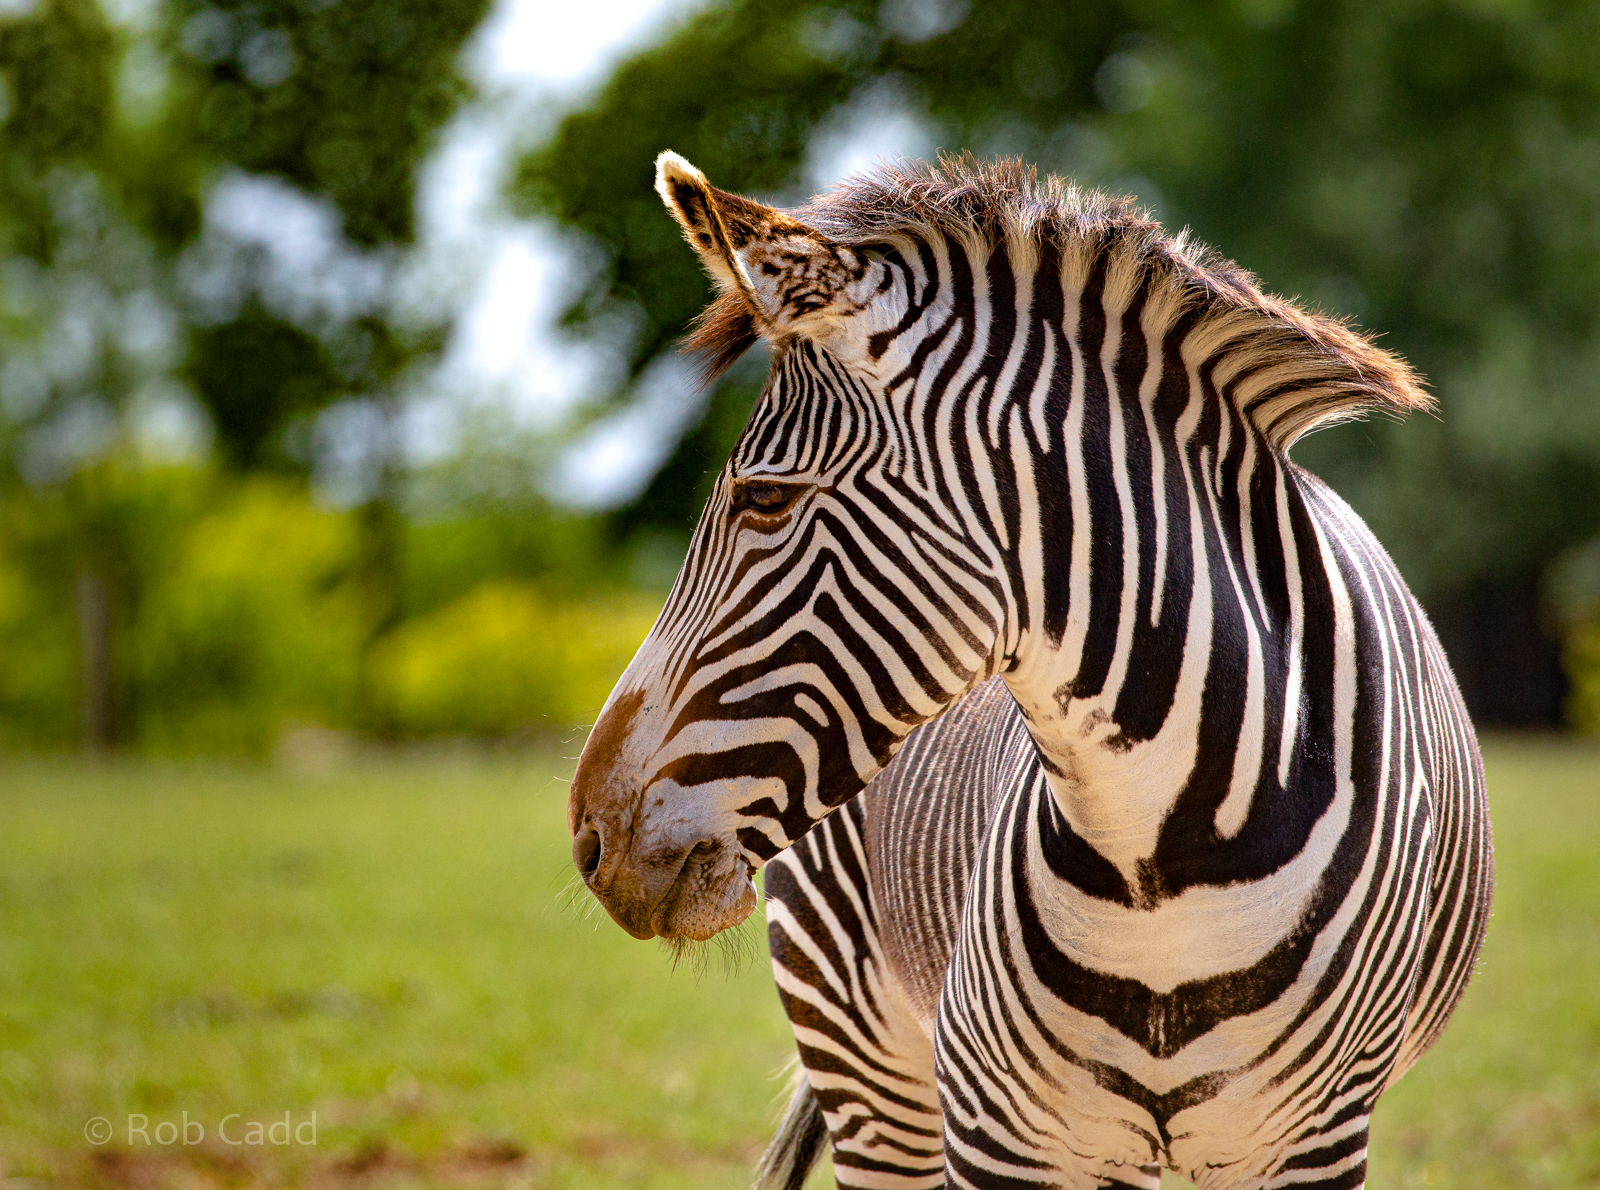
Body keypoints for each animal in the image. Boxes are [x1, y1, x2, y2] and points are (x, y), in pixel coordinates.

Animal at [567, 152, 1493, 1190]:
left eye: (765, 499)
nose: (589, 839)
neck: (1158, 877)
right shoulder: (999, 1136)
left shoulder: (1312, 1144)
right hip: (864, 1059)